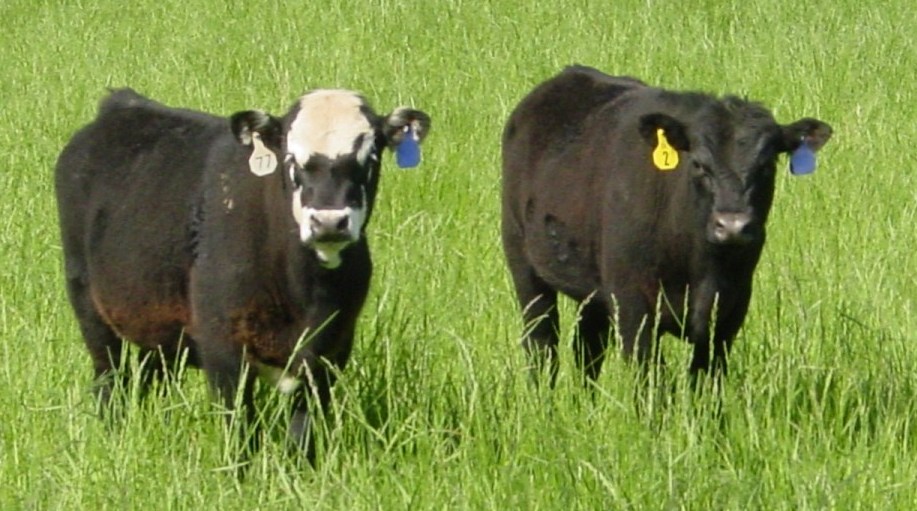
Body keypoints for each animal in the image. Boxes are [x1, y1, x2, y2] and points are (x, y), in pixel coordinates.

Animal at [55, 88, 431, 461]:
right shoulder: (224, 350)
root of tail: (122, 103)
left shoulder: (330, 351)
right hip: (89, 307)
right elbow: (240, 433)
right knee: (110, 380)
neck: (306, 295)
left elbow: (302, 434)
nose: (328, 222)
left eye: (370, 159)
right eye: (291, 160)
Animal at [501, 65, 831, 389]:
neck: (703, 267)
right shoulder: (633, 306)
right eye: (698, 164)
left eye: (767, 165)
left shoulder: (730, 310)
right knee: (541, 343)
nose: (732, 226)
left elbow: (706, 380)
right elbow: (650, 382)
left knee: (587, 349)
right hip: (522, 261)